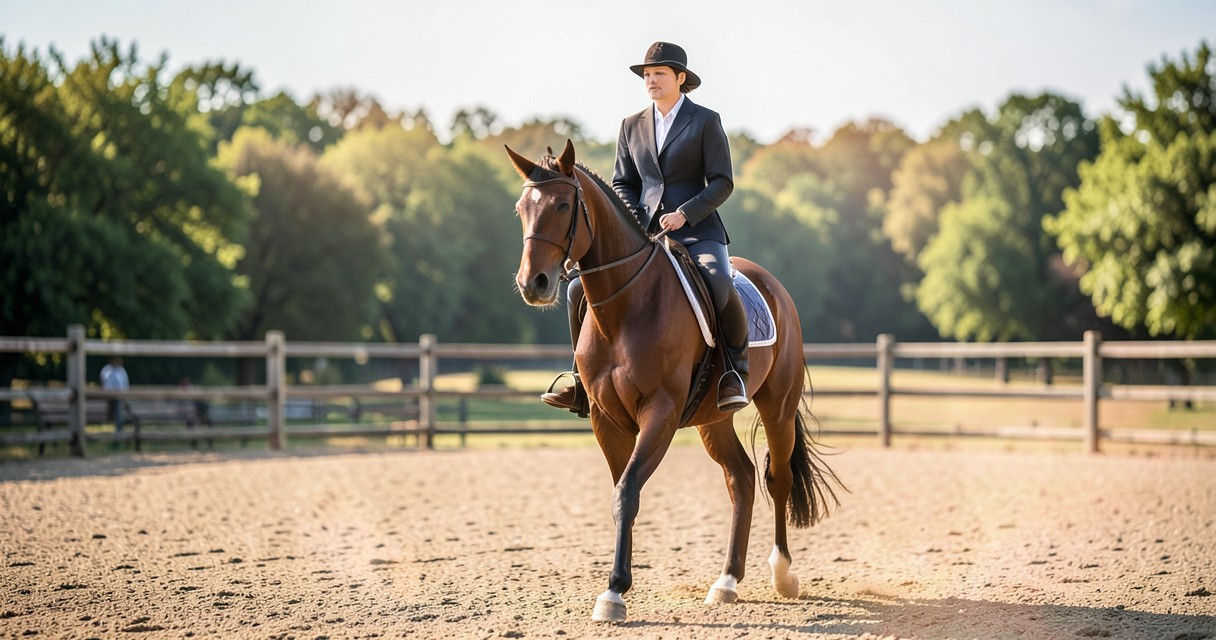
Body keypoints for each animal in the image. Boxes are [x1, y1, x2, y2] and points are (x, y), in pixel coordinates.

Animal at [505, 140, 842, 623]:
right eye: (522, 209)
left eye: (564, 205)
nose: (533, 283)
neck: (625, 307)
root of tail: (772, 284)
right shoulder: (606, 420)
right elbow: (620, 493)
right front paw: (617, 588)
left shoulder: (659, 413)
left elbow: (628, 491)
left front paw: (614, 591)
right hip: (712, 419)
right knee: (741, 477)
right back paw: (726, 581)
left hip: (777, 405)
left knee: (776, 477)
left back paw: (782, 575)